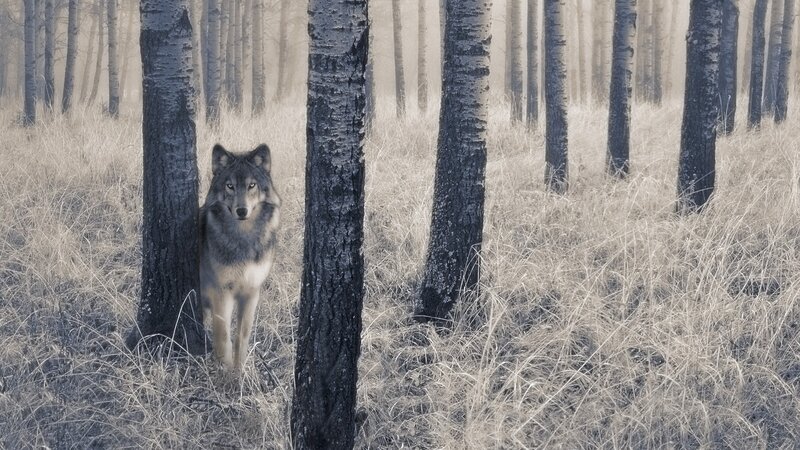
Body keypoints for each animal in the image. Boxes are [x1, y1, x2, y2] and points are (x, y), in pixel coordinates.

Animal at [200, 143, 281, 370]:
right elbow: (223, 338)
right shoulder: (221, 292)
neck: (243, 238)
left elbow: (241, 337)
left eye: (252, 185)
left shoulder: (251, 291)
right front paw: (225, 373)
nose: (241, 210)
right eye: (230, 186)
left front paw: (239, 371)